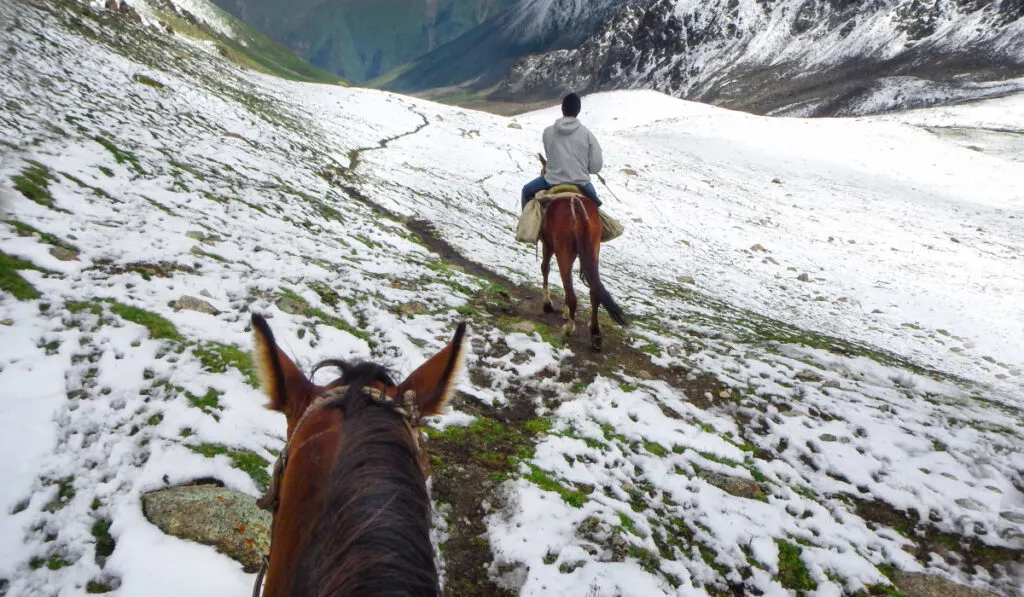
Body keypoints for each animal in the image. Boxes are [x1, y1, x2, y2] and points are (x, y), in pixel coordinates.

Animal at [540, 191, 626, 350]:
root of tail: (577, 207)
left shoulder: (547, 245)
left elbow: (545, 268)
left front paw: (548, 304)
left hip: (563, 253)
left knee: (571, 294)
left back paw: (569, 328)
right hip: (593, 252)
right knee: (594, 293)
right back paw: (595, 335)